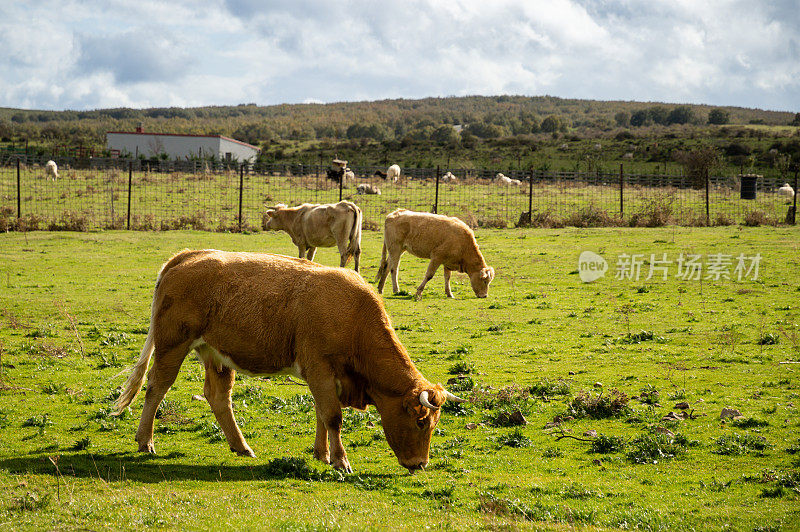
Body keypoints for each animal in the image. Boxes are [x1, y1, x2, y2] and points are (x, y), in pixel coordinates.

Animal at [112, 251, 462, 472]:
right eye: (421, 422)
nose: (420, 465)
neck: (354, 315)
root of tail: (187, 256)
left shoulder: (325, 378)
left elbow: (322, 413)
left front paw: (322, 454)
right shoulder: (320, 368)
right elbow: (332, 416)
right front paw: (341, 461)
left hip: (215, 354)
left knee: (218, 397)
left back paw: (241, 446)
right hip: (172, 345)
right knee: (156, 388)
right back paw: (145, 441)